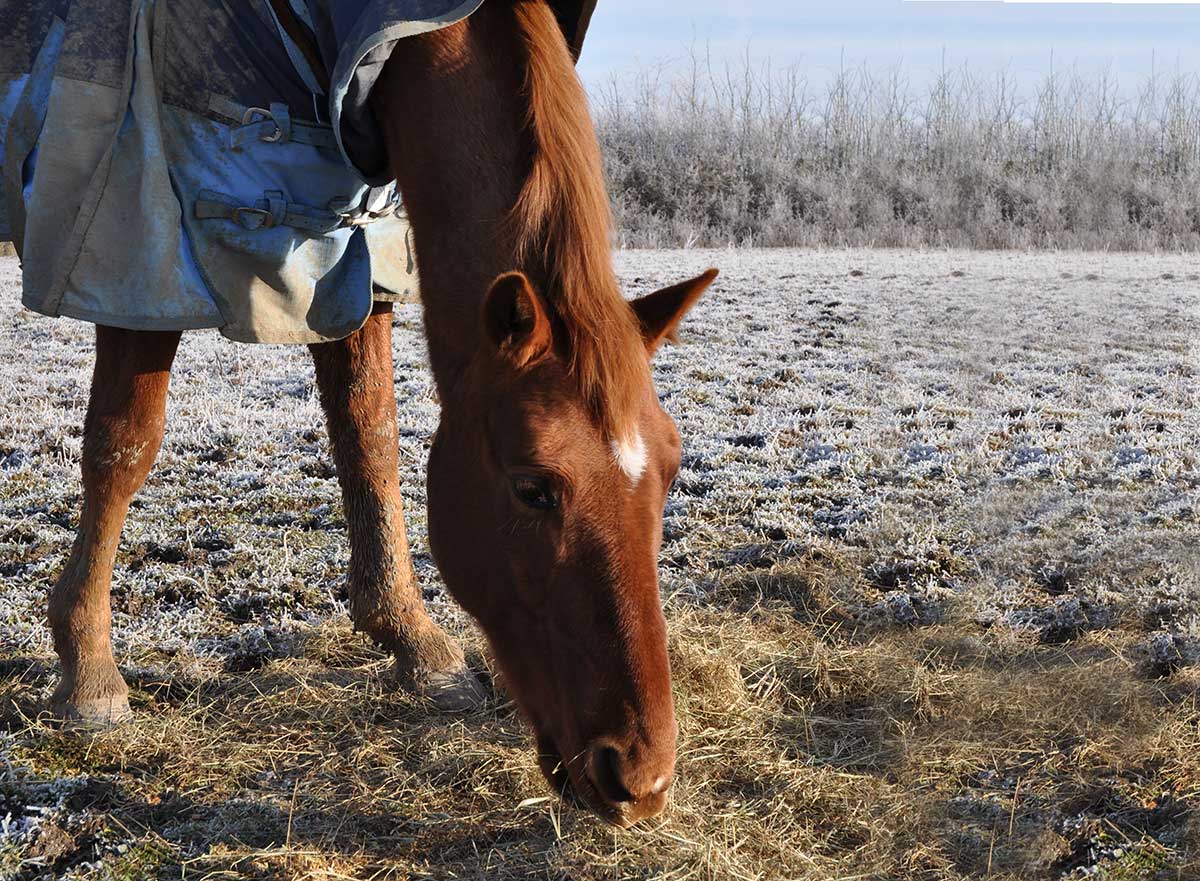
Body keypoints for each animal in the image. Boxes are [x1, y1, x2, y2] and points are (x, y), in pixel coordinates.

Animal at [35, 0, 710, 825]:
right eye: (532, 487)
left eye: (671, 472)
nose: (641, 775)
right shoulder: (138, 247)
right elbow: (122, 448)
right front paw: (89, 674)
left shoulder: (350, 252)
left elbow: (369, 435)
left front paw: (415, 641)